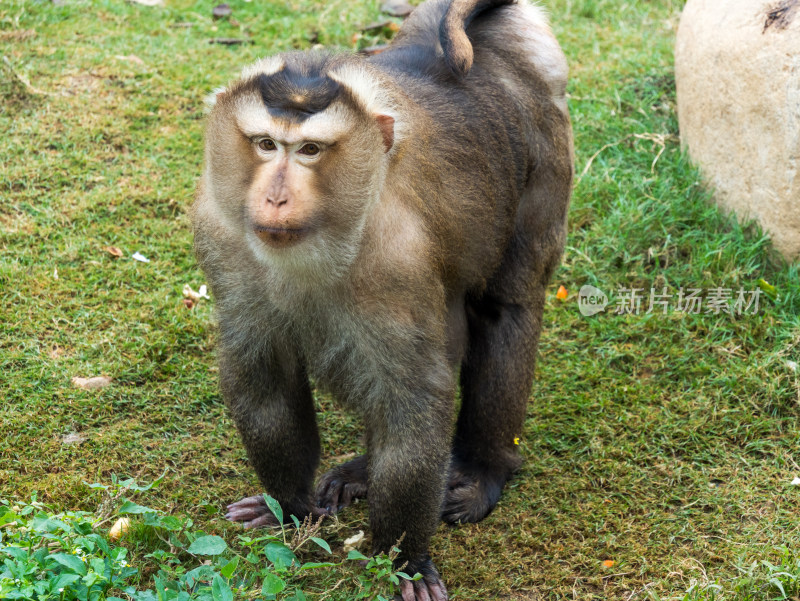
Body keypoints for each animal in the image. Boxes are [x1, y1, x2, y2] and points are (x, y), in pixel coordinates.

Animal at [191, 1, 572, 596]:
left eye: (310, 150)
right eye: (265, 144)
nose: (275, 197)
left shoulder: (398, 262)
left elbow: (412, 396)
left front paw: (406, 559)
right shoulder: (222, 237)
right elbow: (264, 371)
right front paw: (287, 506)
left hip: (544, 154)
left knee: (504, 311)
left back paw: (483, 470)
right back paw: (364, 472)